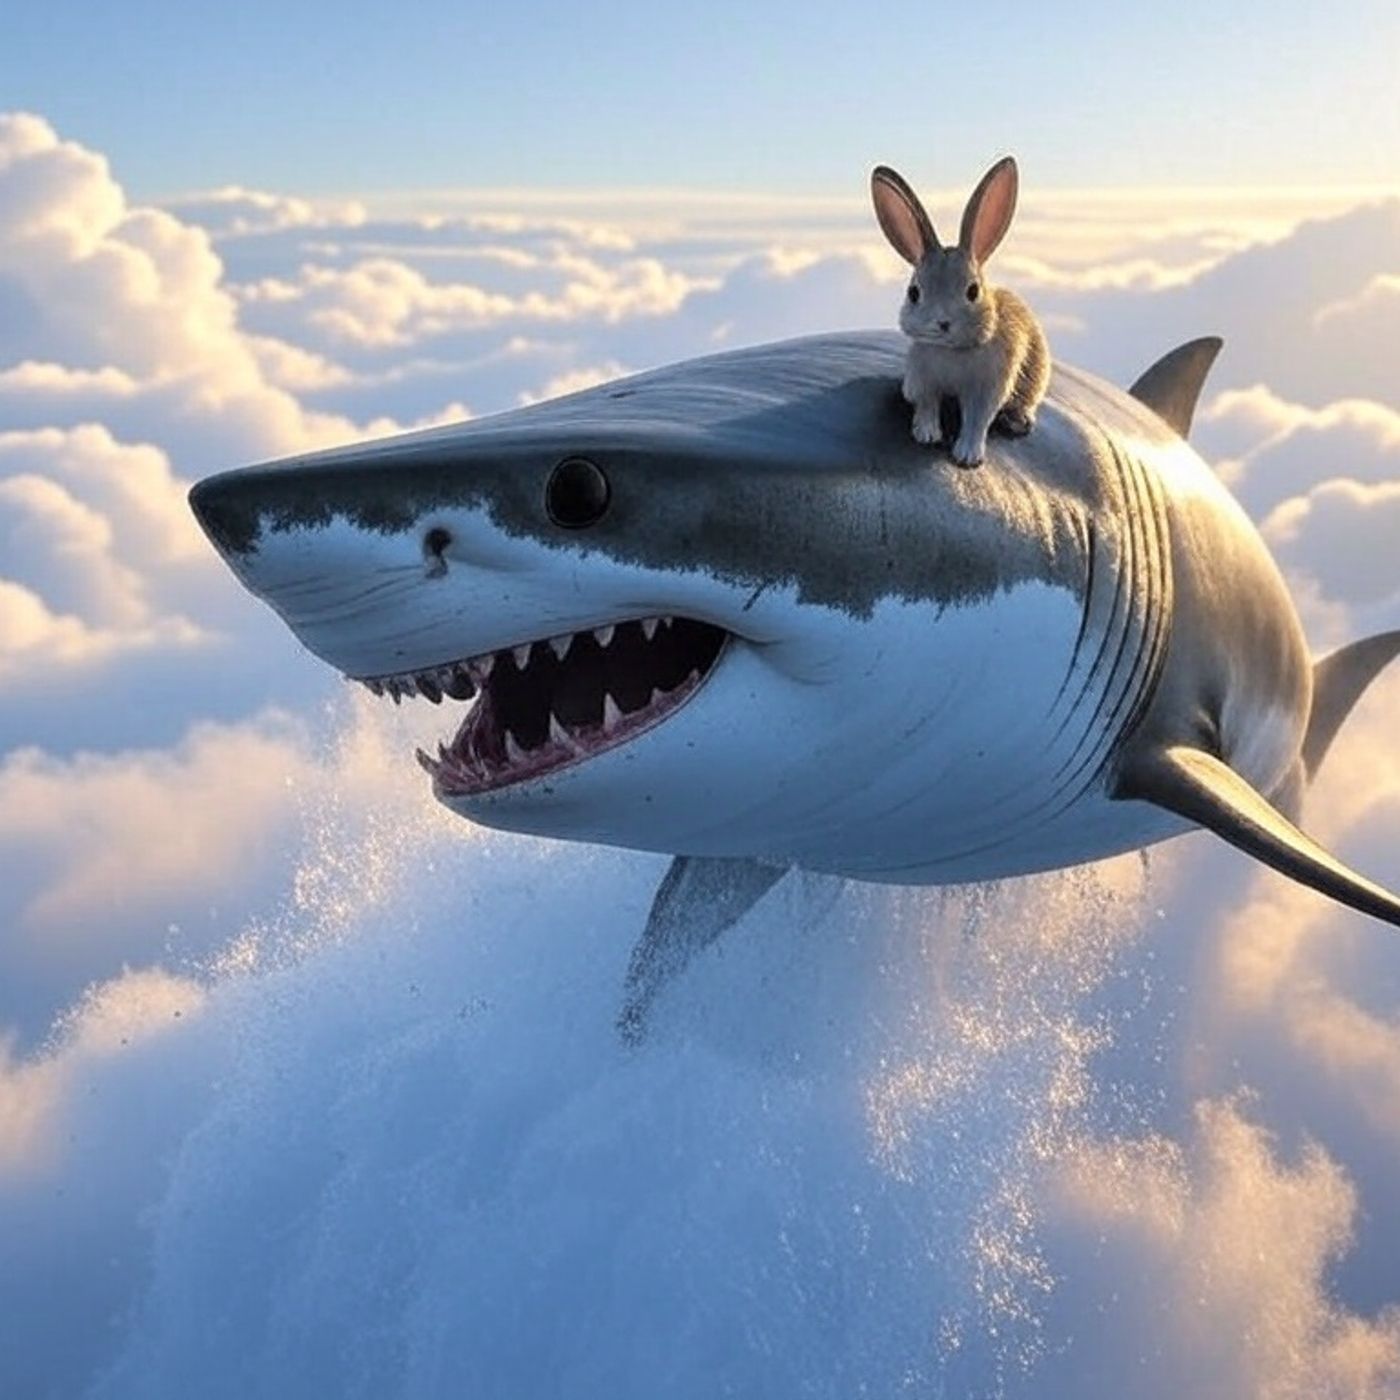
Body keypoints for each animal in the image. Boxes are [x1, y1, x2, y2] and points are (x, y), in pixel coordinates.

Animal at [871, 156, 1050, 468]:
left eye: (973, 291)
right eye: (914, 293)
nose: (943, 323)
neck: (952, 351)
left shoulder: (987, 388)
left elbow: (977, 420)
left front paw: (967, 456)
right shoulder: (923, 378)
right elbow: (926, 405)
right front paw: (926, 434)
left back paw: (1019, 421)